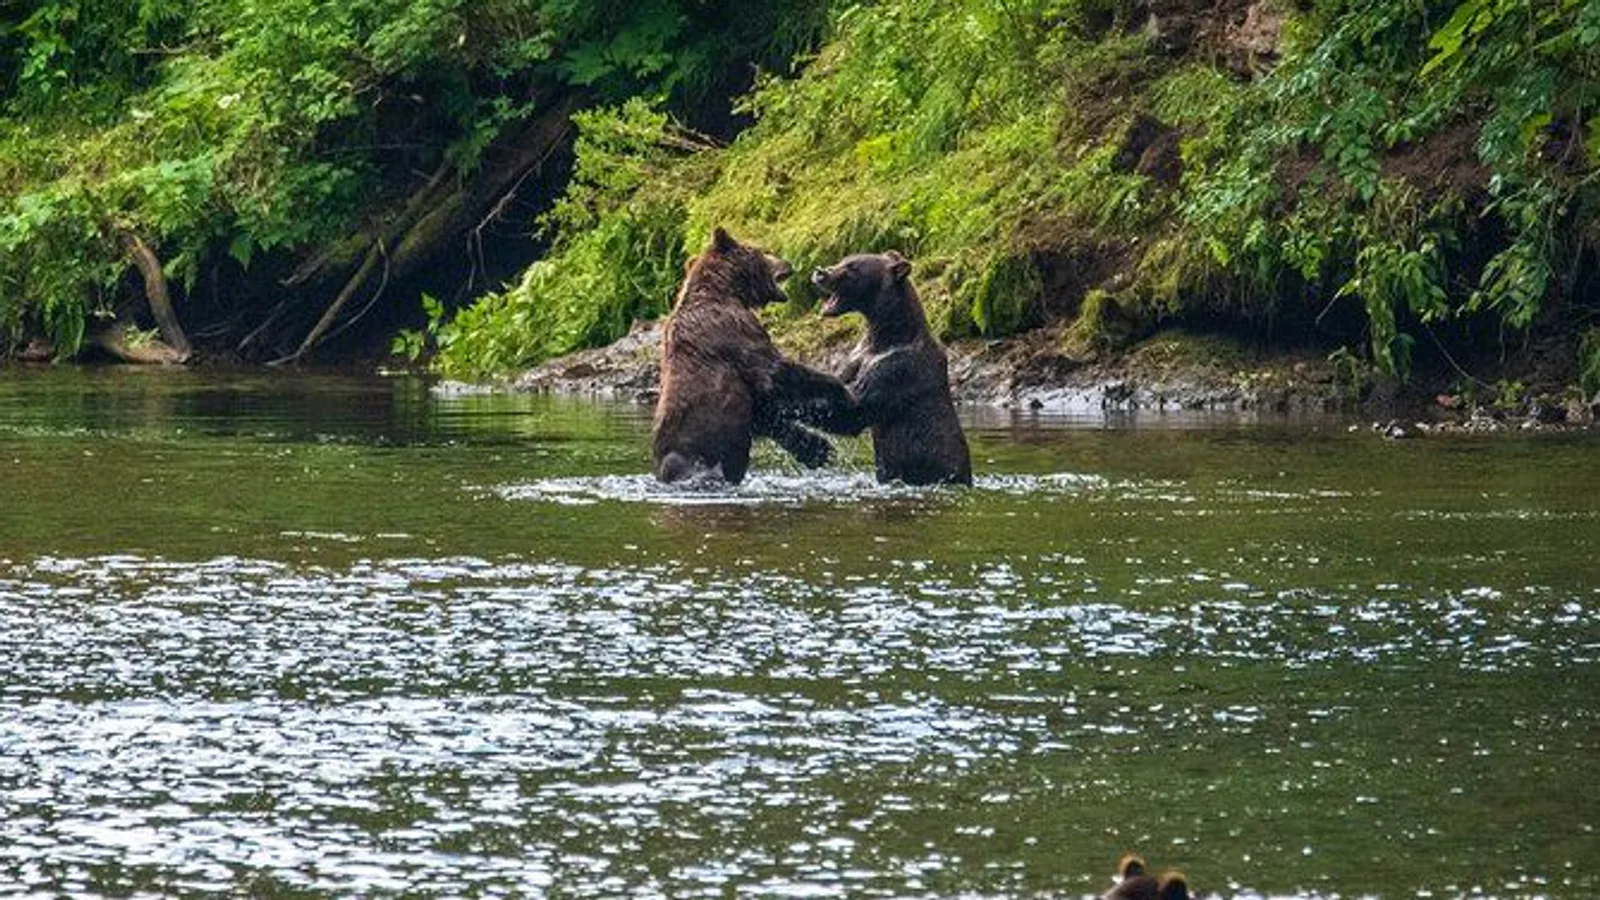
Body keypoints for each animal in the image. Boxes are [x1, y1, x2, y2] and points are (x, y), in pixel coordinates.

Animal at [652, 227, 853, 484]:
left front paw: (819, 448)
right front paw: (838, 390)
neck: (725, 291)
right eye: (763, 251)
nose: (788, 262)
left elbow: (766, 413)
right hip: (692, 455)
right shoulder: (733, 331)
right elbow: (772, 371)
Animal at [810, 250, 973, 485]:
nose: (820, 272)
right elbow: (840, 381)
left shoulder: (898, 370)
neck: (886, 337)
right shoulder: (859, 356)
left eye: (852, 267)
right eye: (843, 260)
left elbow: (855, 409)